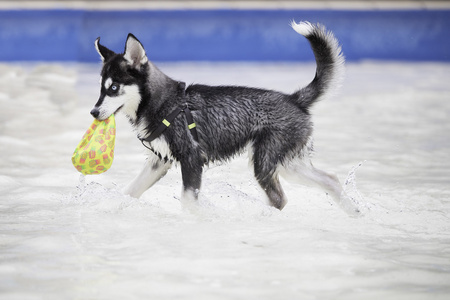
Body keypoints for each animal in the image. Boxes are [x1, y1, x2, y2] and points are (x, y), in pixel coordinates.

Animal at [90, 21, 358, 213]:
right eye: (101, 88)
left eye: (114, 88)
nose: (93, 112)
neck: (165, 103)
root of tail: (294, 99)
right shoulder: (159, 162)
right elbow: (129, 191)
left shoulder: (192, 159)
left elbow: (188, 200)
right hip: (287, 163)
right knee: (331, 179)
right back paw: (354, 212)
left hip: (265, 162)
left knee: (279, 199)